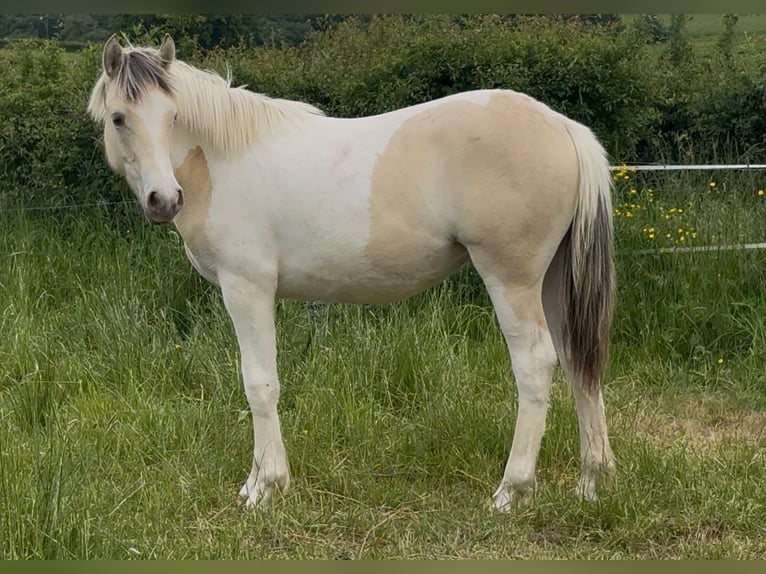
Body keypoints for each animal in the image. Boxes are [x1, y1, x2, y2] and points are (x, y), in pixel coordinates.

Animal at [87, 34, 616, 511]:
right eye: (120, 118)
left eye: (172, 118)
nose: (164, 200)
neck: (218, 160)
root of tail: (563, 127)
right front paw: (260, 479)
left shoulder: (246, 288)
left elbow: (259, 383)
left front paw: (265, 487)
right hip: (552, 281)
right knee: (578, 361)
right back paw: (591, 482)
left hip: (511, 279)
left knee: (536, 364)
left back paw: (512, 490)